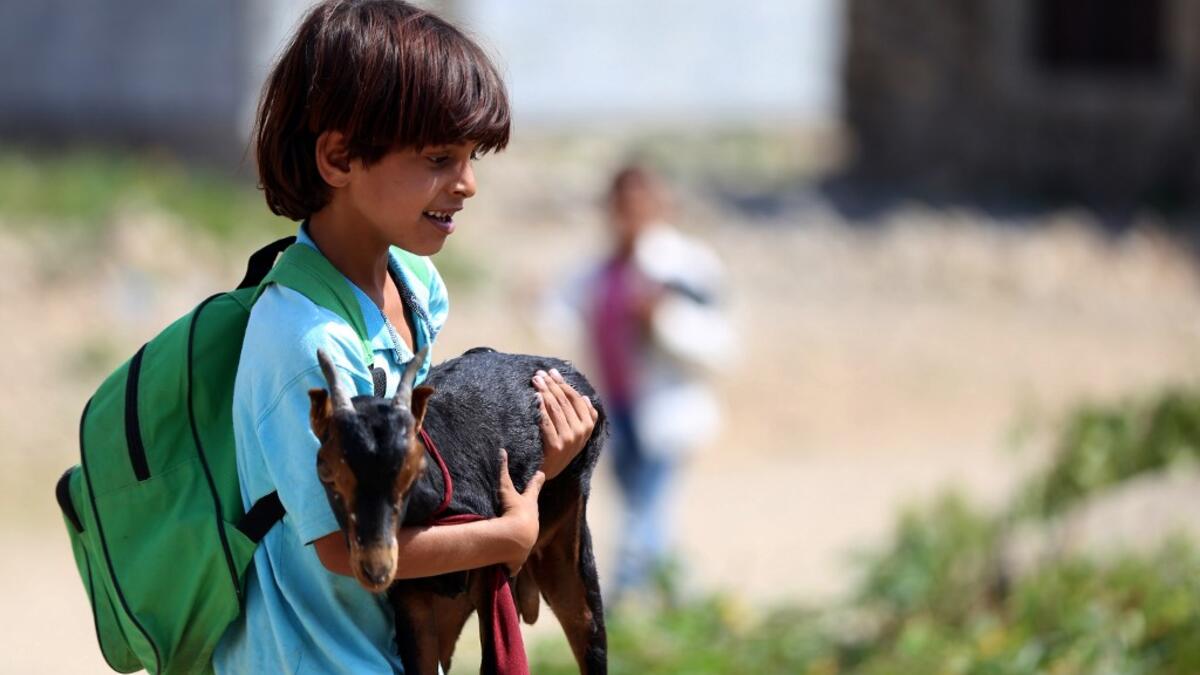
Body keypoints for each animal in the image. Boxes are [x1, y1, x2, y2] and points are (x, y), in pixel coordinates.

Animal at [308, 346, 607, 674]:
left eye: (413, 470)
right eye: (326, 471)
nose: (376, 567)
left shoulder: (494, 566)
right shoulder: (411, 594)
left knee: (585, 621)